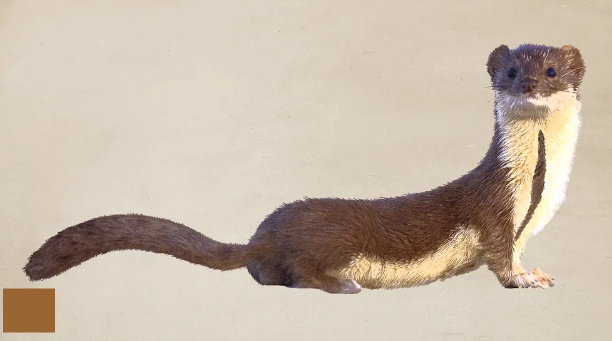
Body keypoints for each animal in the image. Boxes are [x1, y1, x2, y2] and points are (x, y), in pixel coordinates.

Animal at [23, 43, 584, 294]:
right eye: (509, 71)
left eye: (551, 70)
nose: (528, 84)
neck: (536, 189)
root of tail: (262, 235)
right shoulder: (494, 213)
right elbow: (499, 257)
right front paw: (524, 280)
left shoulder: (524, 224)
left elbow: (516, 252)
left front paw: (537, 270)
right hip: (329, 243)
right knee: (297, 274)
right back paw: (343, 285)